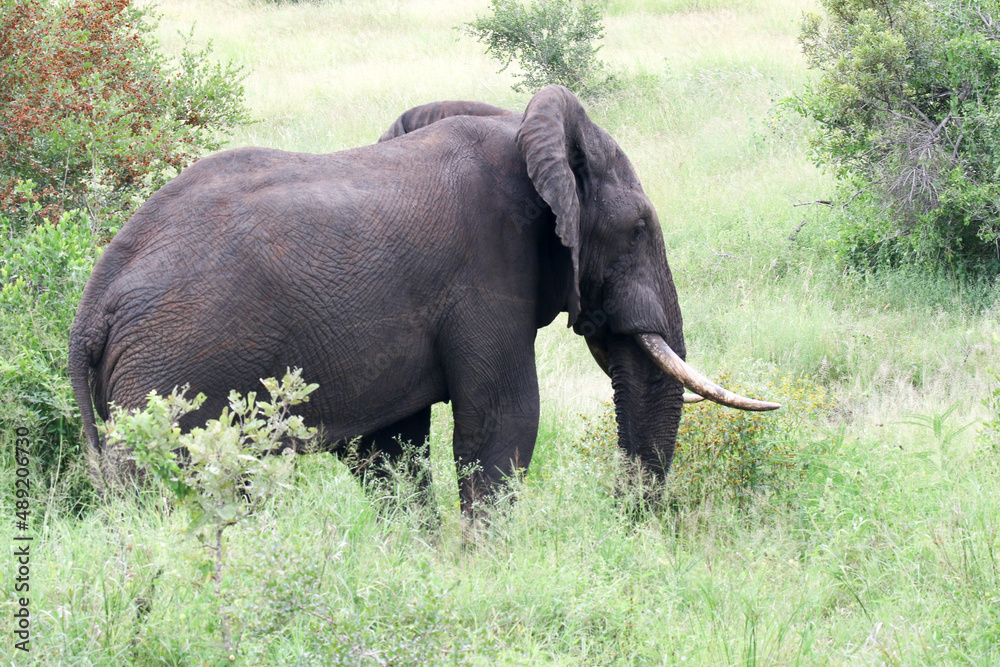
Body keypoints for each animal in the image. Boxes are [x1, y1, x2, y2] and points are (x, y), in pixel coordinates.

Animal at [69, 84, 778, 513]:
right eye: (638, 228)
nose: (632, 523)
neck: (522, 134)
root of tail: (92, 308)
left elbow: (392, 448)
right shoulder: (484, 271)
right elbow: (502, 423)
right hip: (172, 374)